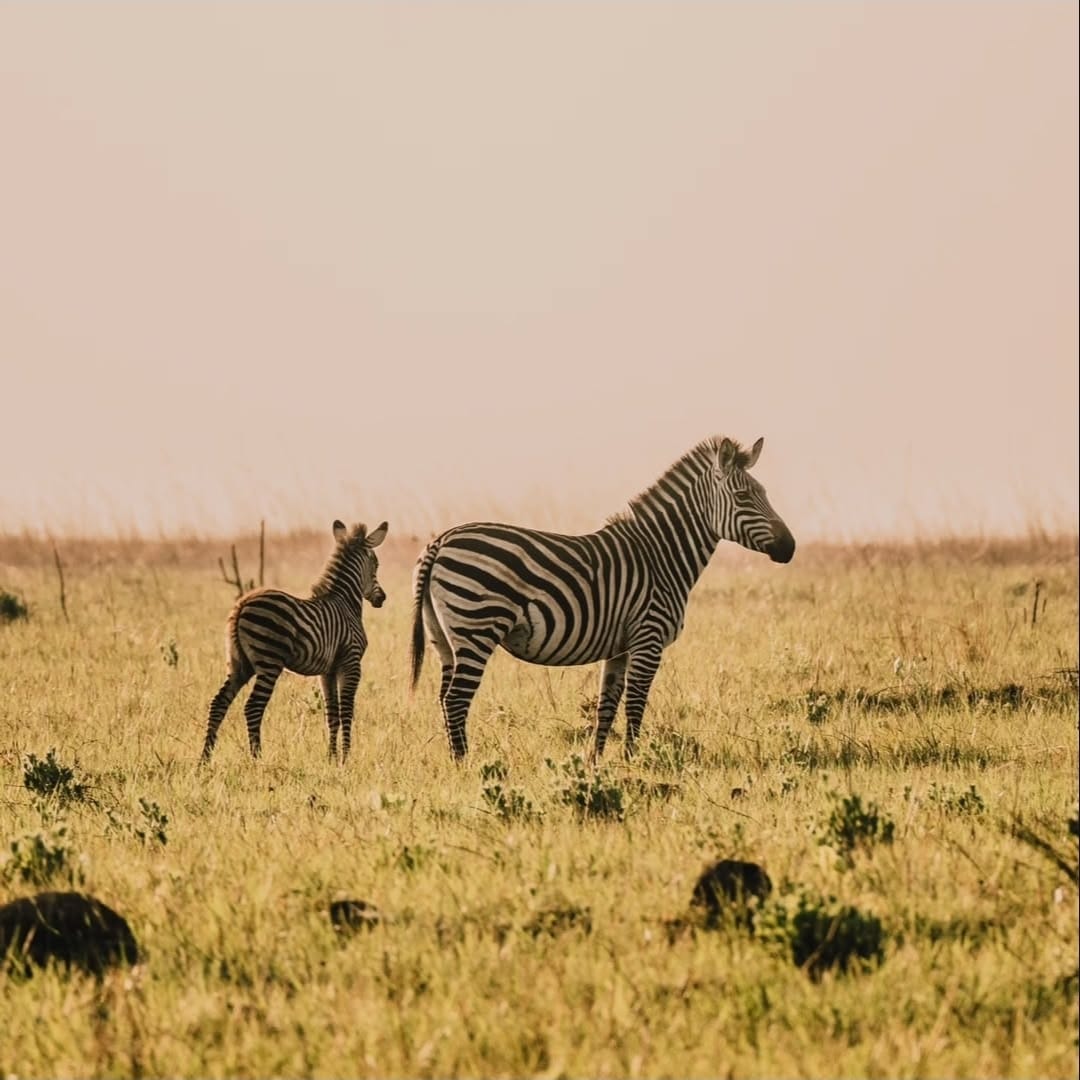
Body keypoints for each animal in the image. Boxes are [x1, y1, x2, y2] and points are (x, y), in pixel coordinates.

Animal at [201, 519, 388, 763]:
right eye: (376, 564)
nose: (382, 598)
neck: (345, 602)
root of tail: (242, 603)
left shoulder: (327, 671)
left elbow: (331, 714)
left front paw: (331, 757)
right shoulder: (351, 661)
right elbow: (346, 711)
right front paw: (345, 758)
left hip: (239, 662)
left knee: (219, 703)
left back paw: (204, 759)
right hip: (269, 662)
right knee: (252, 707)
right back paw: (257, 758)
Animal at [410, 436, 794, 761]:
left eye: (764, 492)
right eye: (743, 497)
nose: (789, 548)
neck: (660, 556)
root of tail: (440, 540)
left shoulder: (620, 647)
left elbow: (606, 705)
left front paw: (596, 763)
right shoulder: (648, 638)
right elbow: (636, 703)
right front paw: (632, 761)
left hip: (443, 636)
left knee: (444, 697)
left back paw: (454, 760)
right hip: (478, 625)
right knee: (457, 699)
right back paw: (466, 765)